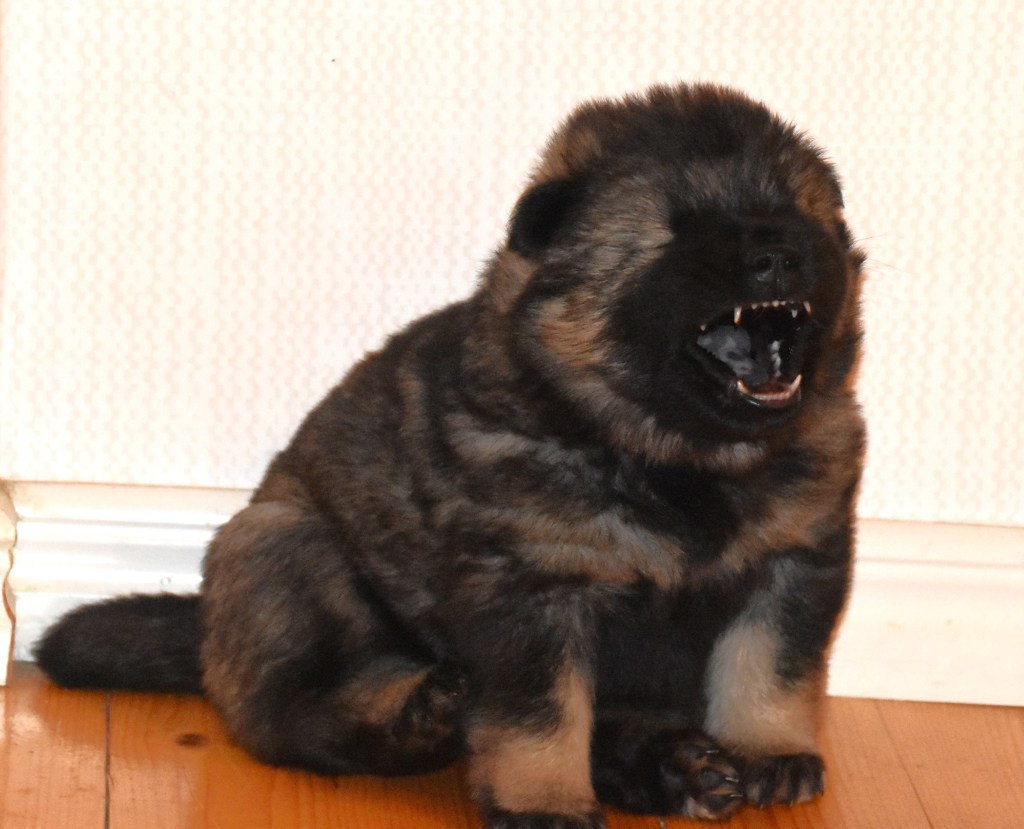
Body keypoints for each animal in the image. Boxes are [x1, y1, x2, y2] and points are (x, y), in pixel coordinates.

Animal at [37, 82, 865, 828]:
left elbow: (770, 664)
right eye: (679, 229)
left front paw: (766, 750)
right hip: (282, 543)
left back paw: (675, 766)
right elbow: (542, 712)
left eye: (799, 215)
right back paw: (419, 713)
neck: (669, 454)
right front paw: (544, 801)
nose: (779, 254)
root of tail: (205, 635)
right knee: (292, 712)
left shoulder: (796, 557)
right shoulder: (530, 585)